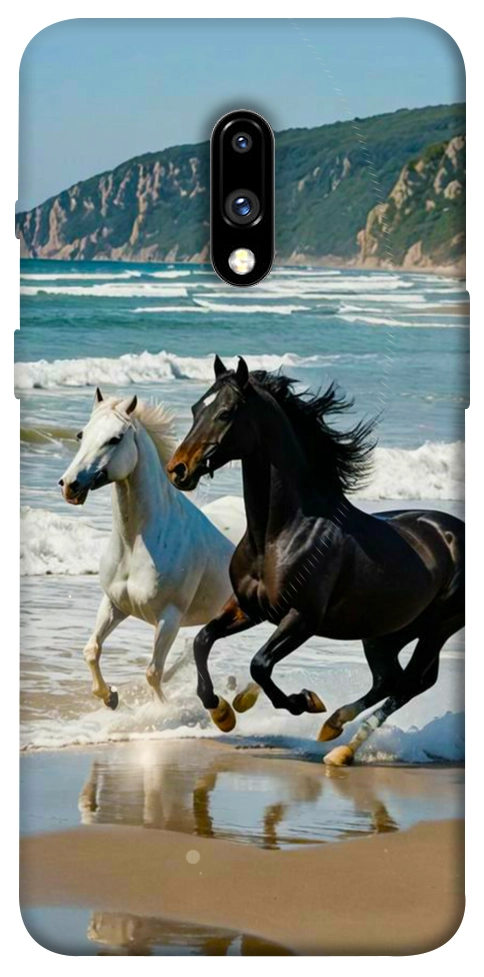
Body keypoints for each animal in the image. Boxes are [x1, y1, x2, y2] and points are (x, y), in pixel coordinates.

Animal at [59, 387, 234, 709]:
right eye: (81, 434)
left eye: (115, 438)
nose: (69, 485)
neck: (135, 544)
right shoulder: (114, 604)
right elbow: (91, 650)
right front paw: (110, 697)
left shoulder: (169, 618)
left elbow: (153, 672)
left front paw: (161, 711)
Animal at [166, 356, 464, 765]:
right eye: (197, 408)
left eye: (226, 412)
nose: (177, 469)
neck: (280, 534)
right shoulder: (249, 608)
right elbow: (202, 640)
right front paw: (223, 711)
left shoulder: (302, 618)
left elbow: (260, 664)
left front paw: (303, 701)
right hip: (386, 632)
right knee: (390, 679)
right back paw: (334, 729)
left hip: (437, 628)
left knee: (410, 683)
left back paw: (340, 746)